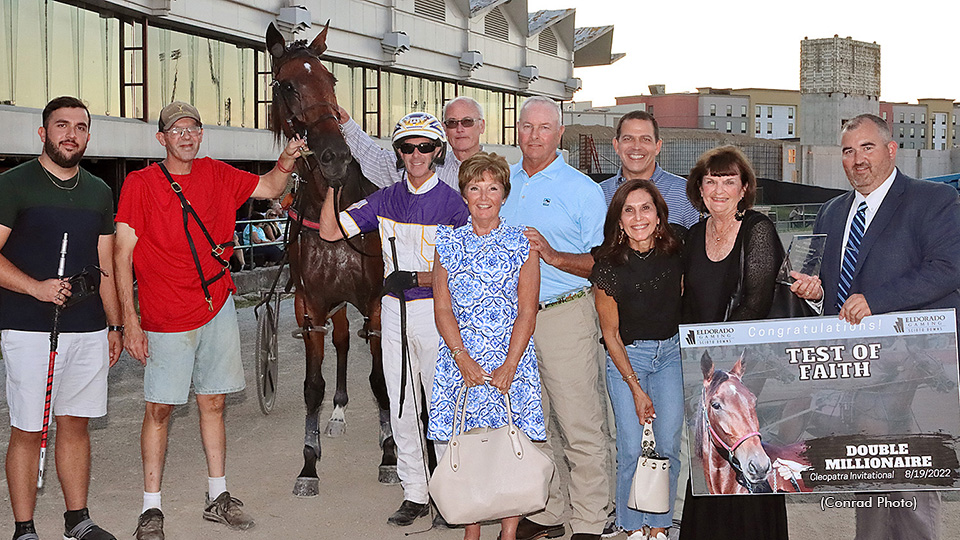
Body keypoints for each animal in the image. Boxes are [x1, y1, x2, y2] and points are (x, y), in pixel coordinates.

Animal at [264, 22, 396, 494]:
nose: (335, 156)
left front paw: (390, 454)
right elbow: (312, 386)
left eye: (332, 80)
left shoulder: (375, 303)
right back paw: (337, 413)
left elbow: (381, 380)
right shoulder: (312, 305)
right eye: (287, 85)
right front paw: (309, 462)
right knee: (340, 342)